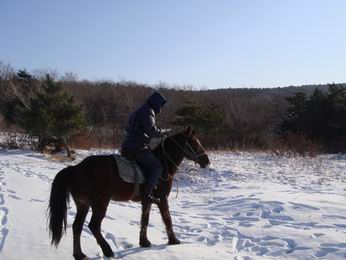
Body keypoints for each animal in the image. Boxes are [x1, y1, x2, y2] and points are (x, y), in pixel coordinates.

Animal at [47, 125, 209, 258]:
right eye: (195, 143)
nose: (206, 161)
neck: (163, 163)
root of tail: (76, 168)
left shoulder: (147, 200)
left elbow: (145, 220)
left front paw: (144, 242)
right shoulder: (162, 199)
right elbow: (167, 219)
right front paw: (173, 240)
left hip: (83, 204)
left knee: (77, 226)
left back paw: (79, 254)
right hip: (100, 203)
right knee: (93, 226)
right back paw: (107, 250)